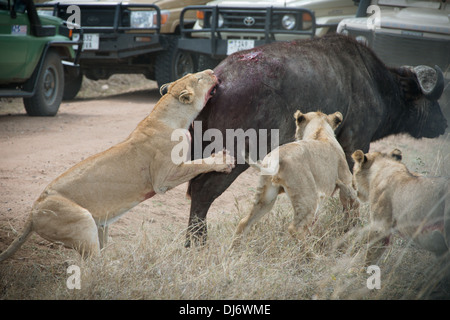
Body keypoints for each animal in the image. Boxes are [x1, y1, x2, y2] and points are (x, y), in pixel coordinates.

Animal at [183, 33, 446, 246]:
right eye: (432, 100)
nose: (443, 123)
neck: (374, 82)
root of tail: (220, 78)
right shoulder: (355, 146)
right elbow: (350, 198)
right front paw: (348, 229)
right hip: (234, 156)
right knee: (203, 192)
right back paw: (197, 243)